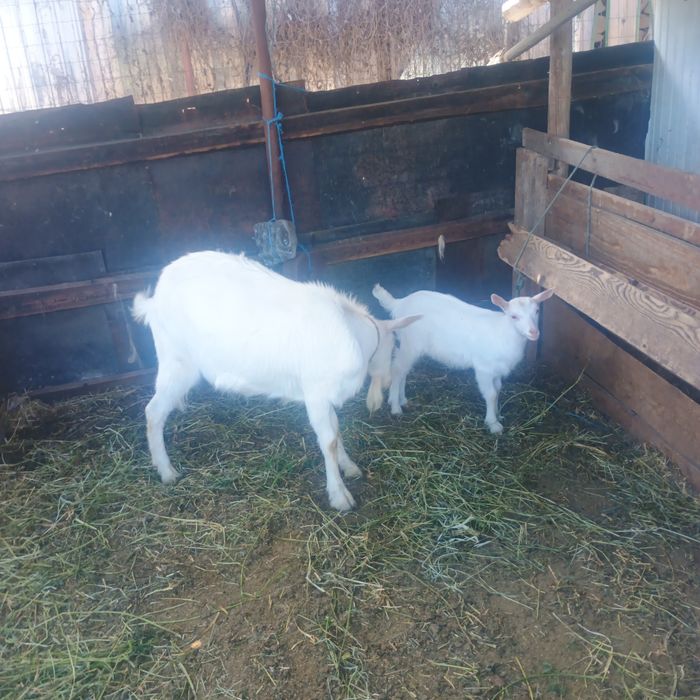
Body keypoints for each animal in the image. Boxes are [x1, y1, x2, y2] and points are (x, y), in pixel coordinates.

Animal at [132, 251, 419, 511]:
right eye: (394, 346)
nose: (386, 384)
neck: (356, 336)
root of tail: (154, 300)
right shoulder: (315, 394)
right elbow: (328, 441)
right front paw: (340, 496)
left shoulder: (325, 396)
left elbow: (337, 430)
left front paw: (348, 467)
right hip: (178, 362)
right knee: (153, 412)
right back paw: (167, 471)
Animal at [372, 284, 554, 433]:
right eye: (513, 316)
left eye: (537, 311)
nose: (534, 332)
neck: (503, 332)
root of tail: (400, 303)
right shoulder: (484, 368)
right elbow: (491, 394)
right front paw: (493, 424)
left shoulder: (497, 370)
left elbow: (498, 390)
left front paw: (498, 415)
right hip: (411, 343)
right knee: (398, 369)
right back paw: (395, 407)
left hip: (407, 344)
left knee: (403, 370)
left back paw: (402, 400)